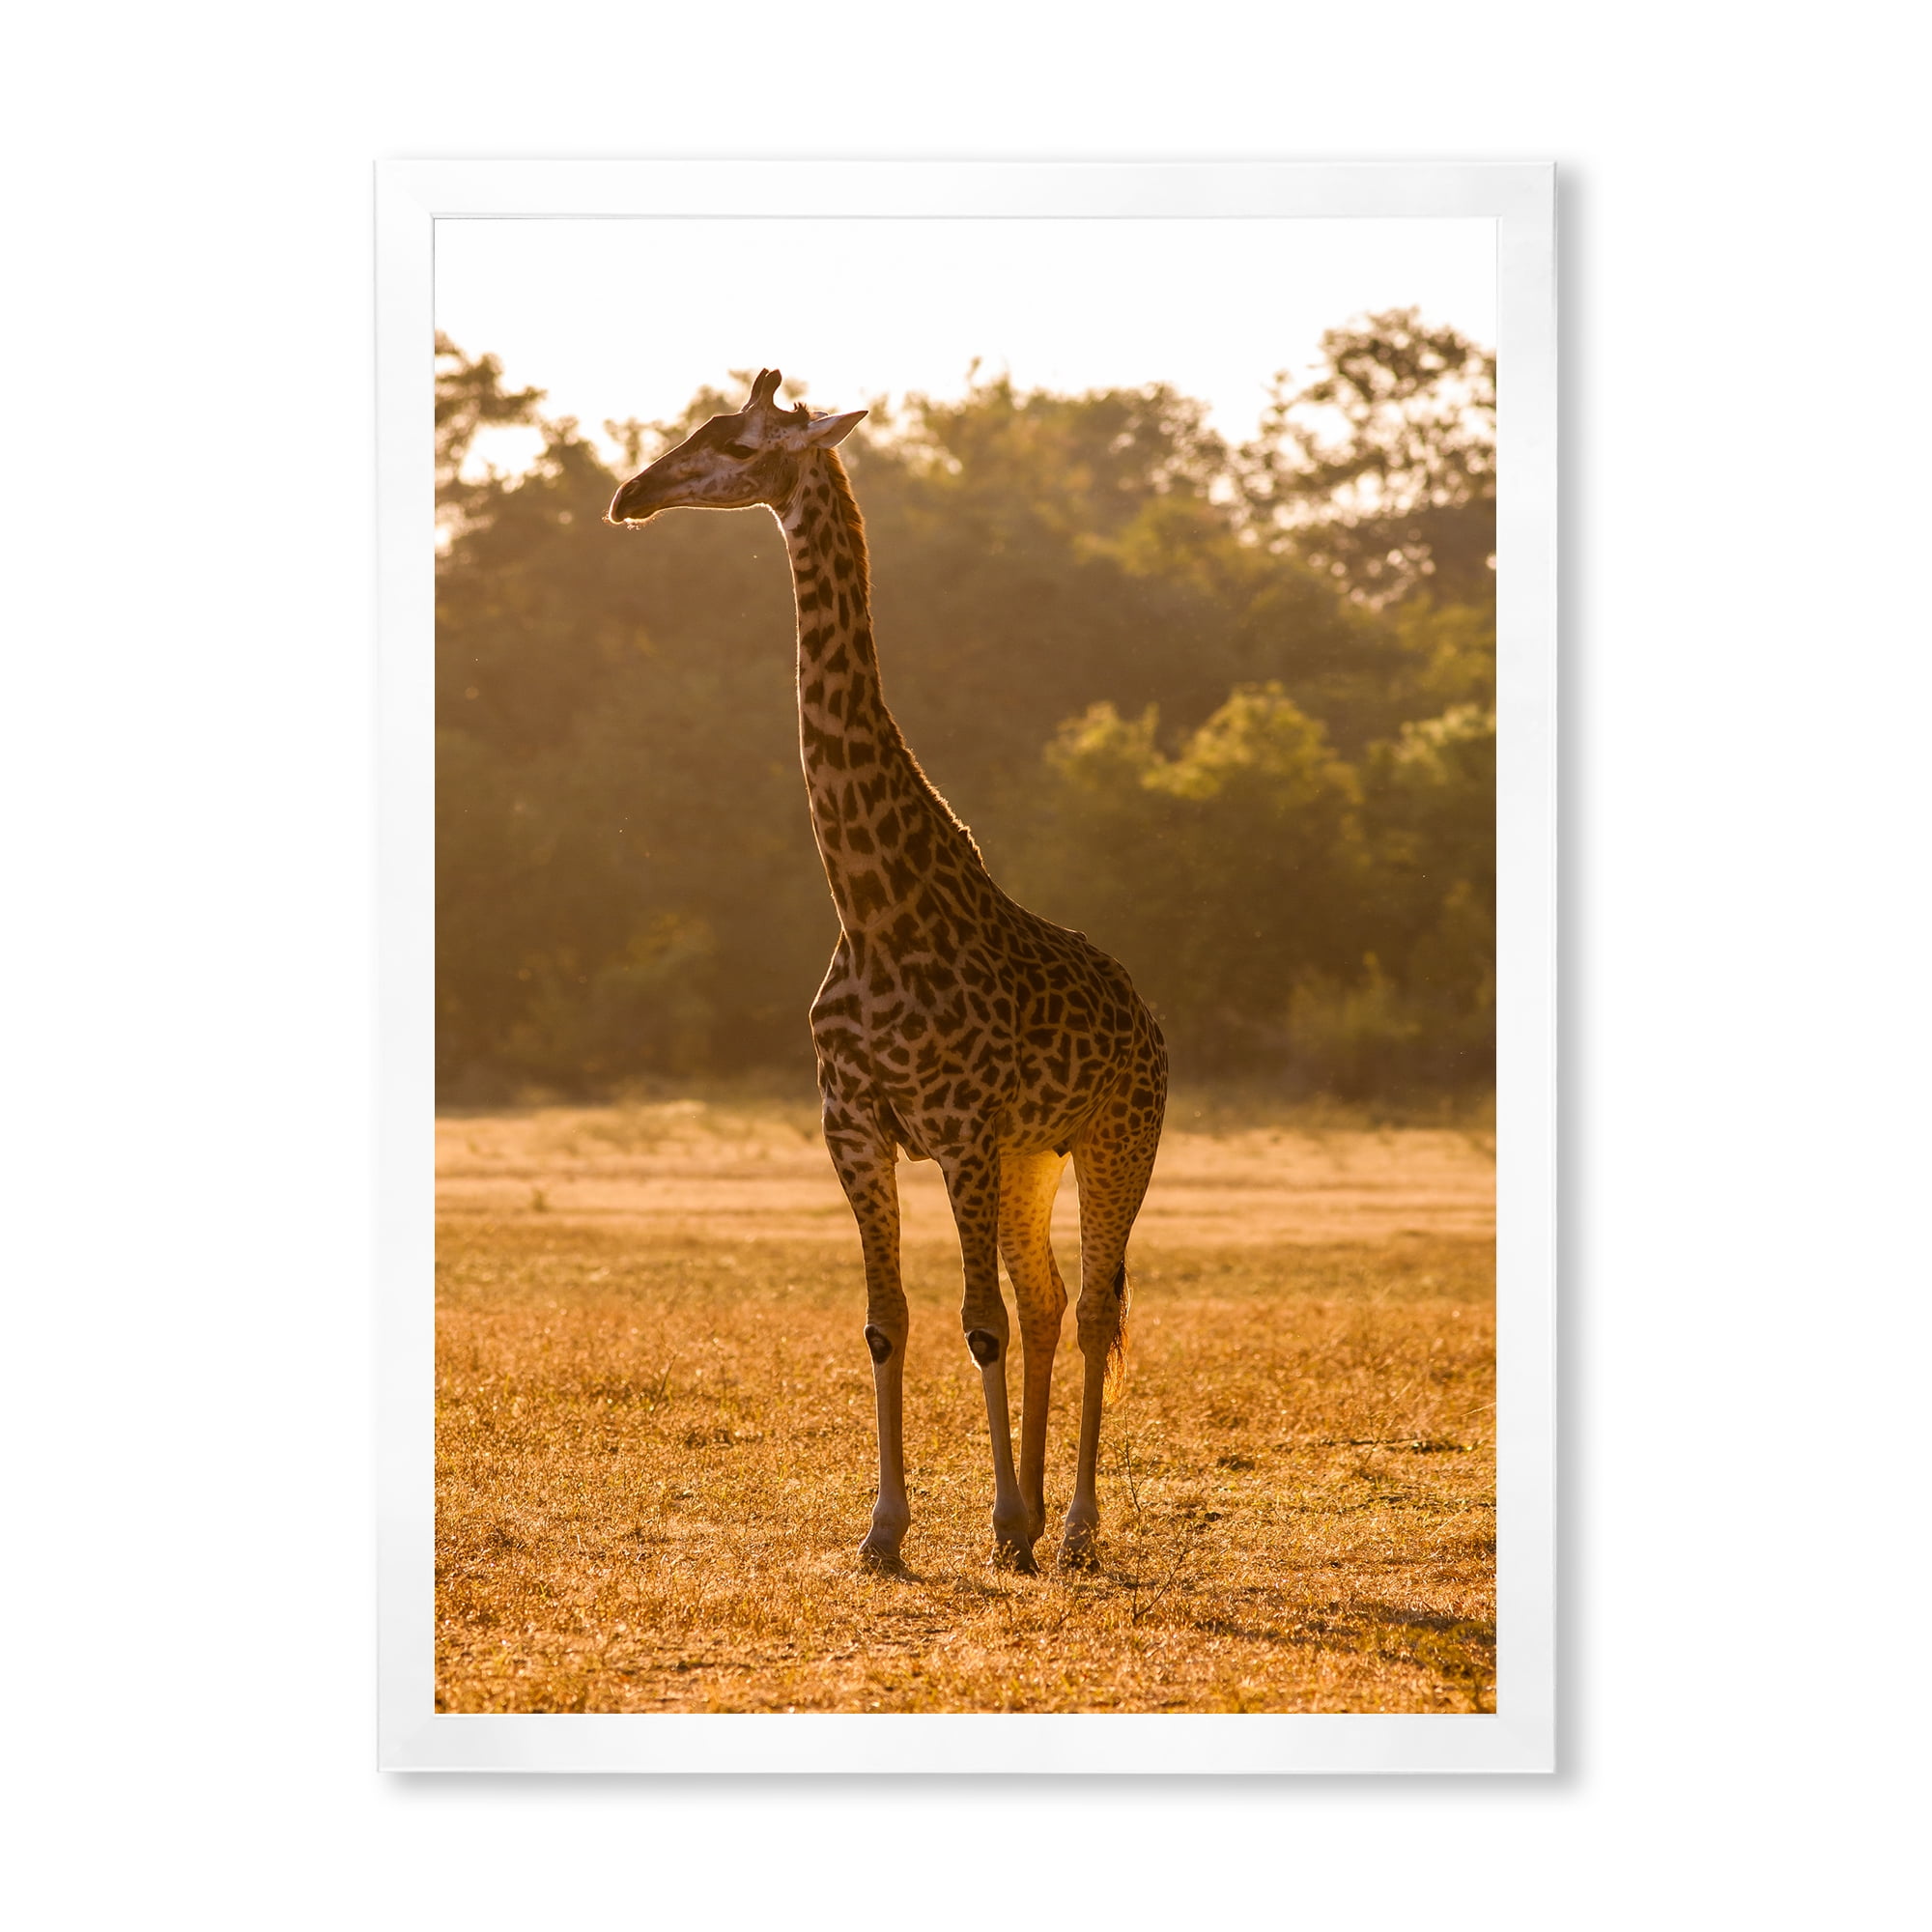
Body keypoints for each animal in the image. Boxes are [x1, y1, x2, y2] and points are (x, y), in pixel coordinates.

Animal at [606, 369, 1166, 1574]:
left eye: (736, 443)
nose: (632, 493)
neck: (869, 908)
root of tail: (1147, 1013)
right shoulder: (855, 1126)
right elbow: (889, 1319)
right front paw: (888, 1527)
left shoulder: (954, 1124)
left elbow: (973, 1323)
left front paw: (997, 1520)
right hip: (1030, 1154)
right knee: (1046, 1297)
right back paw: (1039, 1510)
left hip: (1115, 1136)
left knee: (1092, 1306)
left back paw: (1071, 1526)